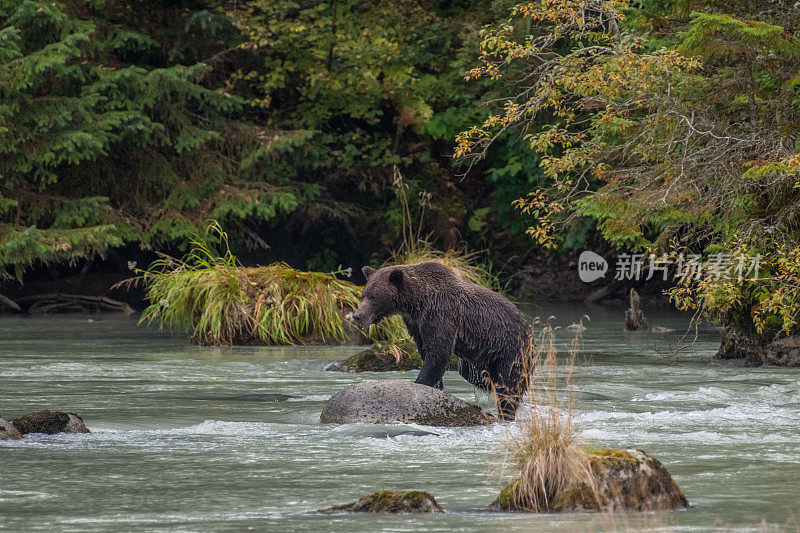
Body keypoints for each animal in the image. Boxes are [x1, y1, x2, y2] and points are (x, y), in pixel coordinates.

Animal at [352, 260, 532, 418]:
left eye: (374, 296)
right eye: (363, 295)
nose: (357, 316)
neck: (417, 302)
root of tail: (526, 323)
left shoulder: (441, 313)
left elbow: (438, 352)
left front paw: (420, 383)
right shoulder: (416, 323)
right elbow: (426, 351)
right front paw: (438, 386)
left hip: (509, 348)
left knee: (508, 385)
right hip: (481, 355)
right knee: (473, 374)